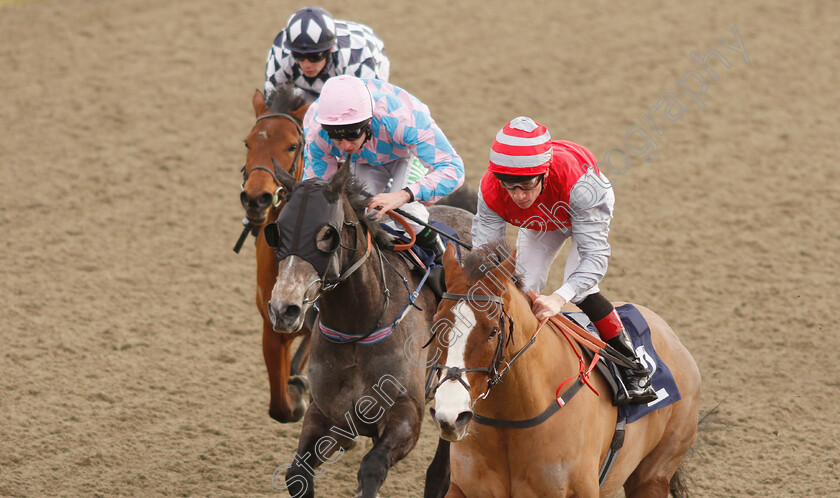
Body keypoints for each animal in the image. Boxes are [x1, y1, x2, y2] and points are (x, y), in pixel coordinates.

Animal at [262, 164, 472, 498]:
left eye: (327, 234)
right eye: (277, 232)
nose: (284, 309)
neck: (358, 328)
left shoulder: (407, 412)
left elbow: (373, 468)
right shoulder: (327, 415)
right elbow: (297, 473)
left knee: (442, 467)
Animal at [430, 243, 700, 496]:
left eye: (493, 331)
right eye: (436, 325)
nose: (451, 416)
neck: (511, 418)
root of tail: (671, 335)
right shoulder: (463, 488)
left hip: (653, 475)